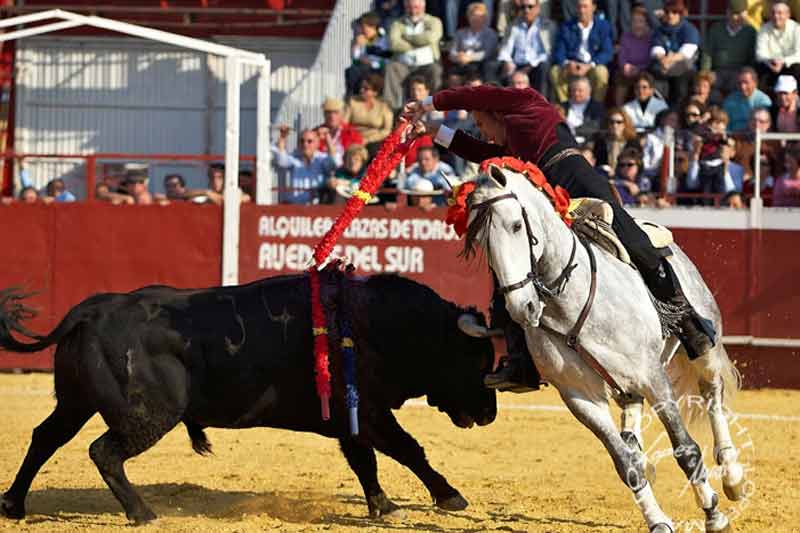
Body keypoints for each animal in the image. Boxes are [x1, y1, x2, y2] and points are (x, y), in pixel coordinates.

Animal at [0, 270, 496, 524]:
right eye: (475, 361)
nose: (490, 414)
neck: (376, 321)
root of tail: (91, 311)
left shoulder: (351, 417)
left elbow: (365, 460)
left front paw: (383, 505)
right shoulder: (369, 411)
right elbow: (407, 449)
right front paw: (450, 497)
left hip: (75, 402)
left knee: (45, 438)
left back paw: (13, 504)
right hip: (149, 414)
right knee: (104, 452)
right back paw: (142, 513)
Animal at [460, 163, 748, 532]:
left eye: (515, 225)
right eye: (480, 241)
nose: (522, 307)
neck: (569, 300)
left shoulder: (652, 376)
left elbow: (685, 449)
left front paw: (713, 512)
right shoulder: (580, 398)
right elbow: (625, 465)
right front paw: (658, 520)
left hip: (705, 349)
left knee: (713, 396)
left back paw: (732, 476)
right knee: (633, 412)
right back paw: (641, 450)